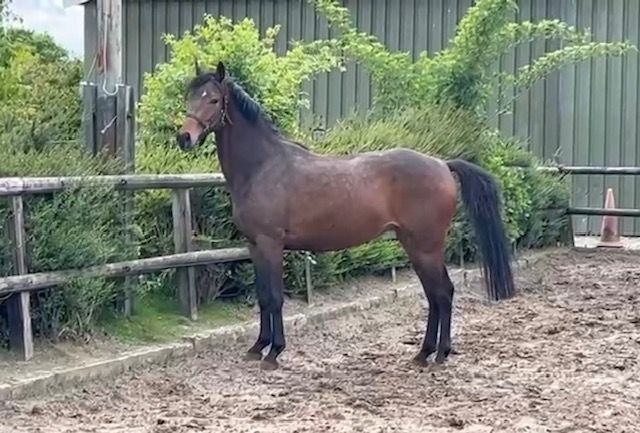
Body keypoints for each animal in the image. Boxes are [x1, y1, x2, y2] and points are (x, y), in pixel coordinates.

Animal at [176, 61, 515, 371]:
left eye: (213, 100)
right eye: (188, 96)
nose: (184, 138)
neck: (263, 166)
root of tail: (442, 164)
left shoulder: (271, 243)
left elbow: (274, 297)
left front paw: (274, 353)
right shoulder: (255, 245)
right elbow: (262, 297)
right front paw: (257, 347)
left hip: (426, 247)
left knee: (442, 293)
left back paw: (439, 354)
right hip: (414, 245)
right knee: (434, 295)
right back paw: (424, 353)